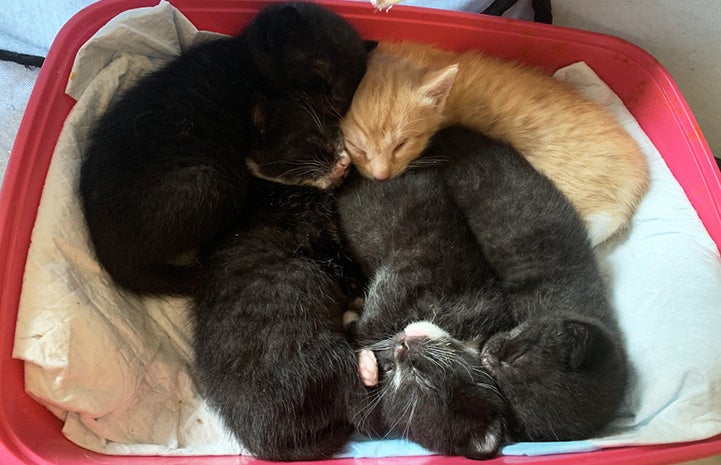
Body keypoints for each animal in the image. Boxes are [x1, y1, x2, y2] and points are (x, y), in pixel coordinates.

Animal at [79, 0, 372, 294]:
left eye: (355, 80)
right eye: (322, 69)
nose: (340, 100)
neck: (250, 62)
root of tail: (111, 254)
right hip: (212, 183)